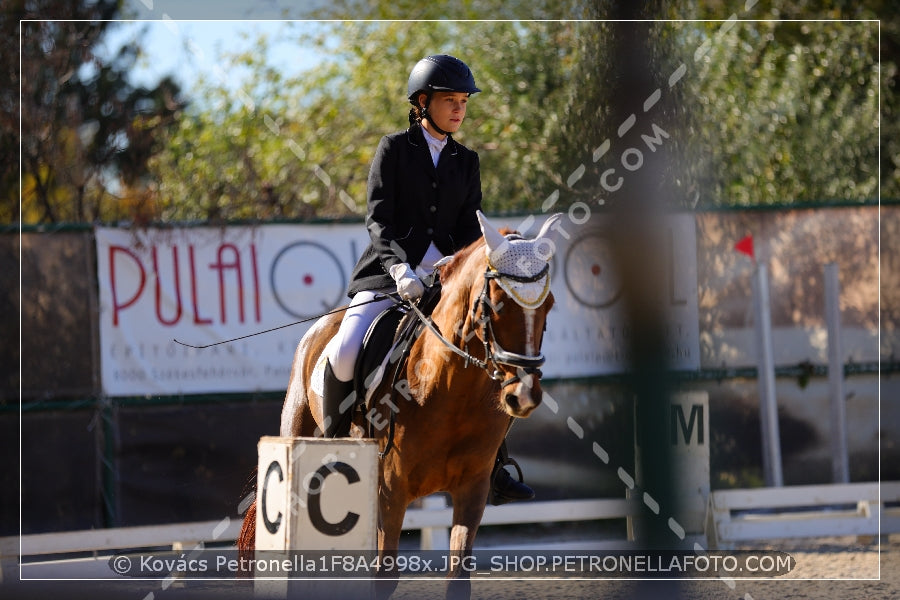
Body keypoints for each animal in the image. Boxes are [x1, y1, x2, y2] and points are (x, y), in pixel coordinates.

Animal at [239, 210, 564, 596]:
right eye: (495, 302)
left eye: (549, 305)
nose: (524, 394)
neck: (451, 391)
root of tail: (320, 327)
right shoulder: (391, 490)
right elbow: (383, 578)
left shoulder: (473, 489)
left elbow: (457, 580)